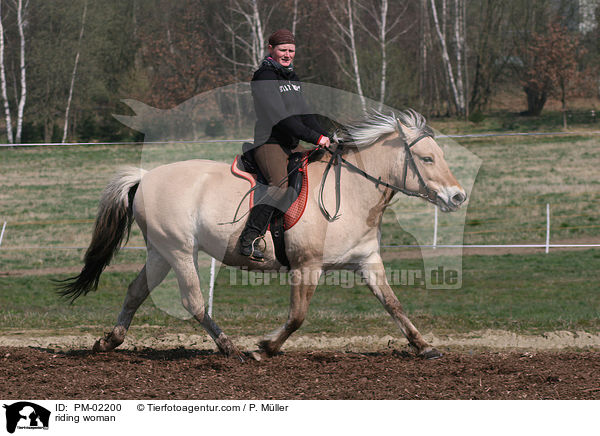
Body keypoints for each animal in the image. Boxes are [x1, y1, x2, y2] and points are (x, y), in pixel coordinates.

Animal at [57, 110, 468, 362]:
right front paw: (264, 348)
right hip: (179, 251)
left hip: (159, 252)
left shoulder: (367, 262)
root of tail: (145, 177)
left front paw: (424, 346)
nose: (457, 197)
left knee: (135, 292)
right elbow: (298, 316)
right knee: (194, 303)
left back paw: (109, 341)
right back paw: (231, 349)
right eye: (427, 159)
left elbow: (394, 304)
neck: (351, 191)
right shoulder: (307, 266)